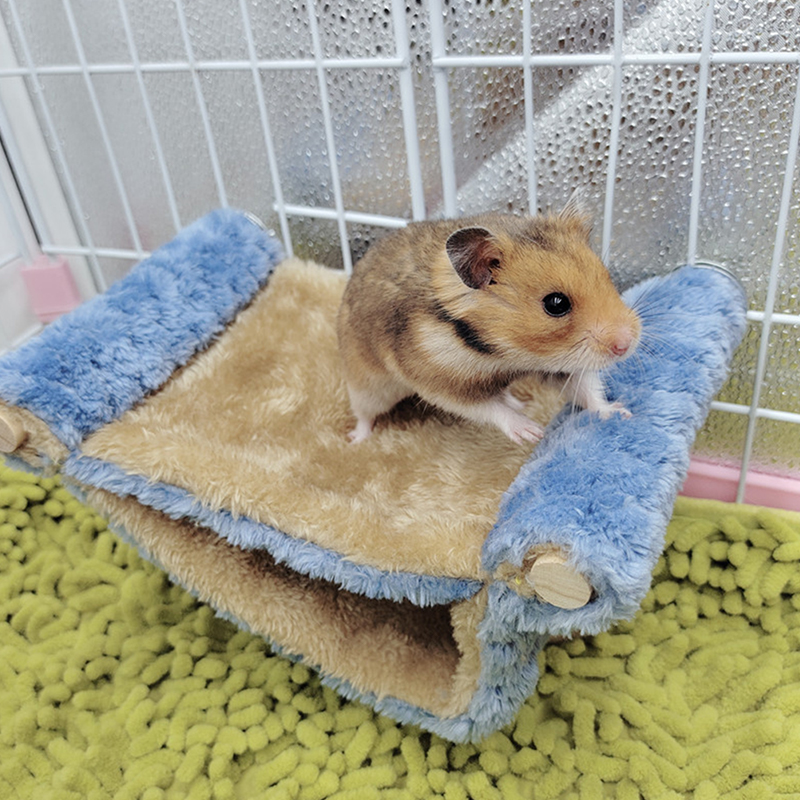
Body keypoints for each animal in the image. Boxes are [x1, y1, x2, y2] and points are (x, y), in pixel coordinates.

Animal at [334, 203, 640, 444]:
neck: (505, 354)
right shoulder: (441, 384)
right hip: (366, 387)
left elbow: (586, 389)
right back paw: (355, 440)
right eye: (556, 304)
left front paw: (621, 413)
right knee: (364, 414)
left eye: (606, 277)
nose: (627, 345)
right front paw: (532, 432)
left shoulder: (559, 363)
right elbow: (488, 408)